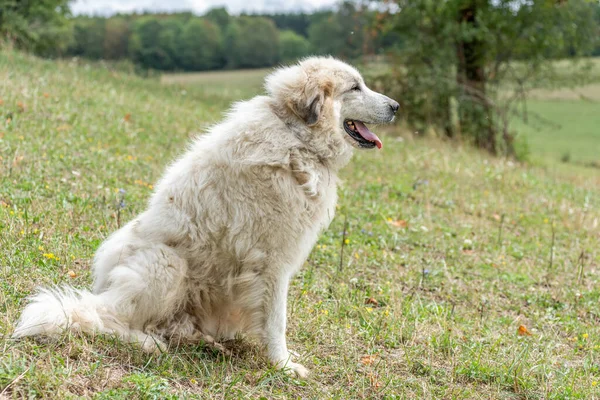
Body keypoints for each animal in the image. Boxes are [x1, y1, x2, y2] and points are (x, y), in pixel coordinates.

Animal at [14, 57, 398, 378]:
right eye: (355, 87)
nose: (396, 107)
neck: (296, 138)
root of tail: (101, 287)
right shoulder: (271, 264)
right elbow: (277, 321)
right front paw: (284, 366)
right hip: (166, 264)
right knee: (107, 319)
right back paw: (148, 342)